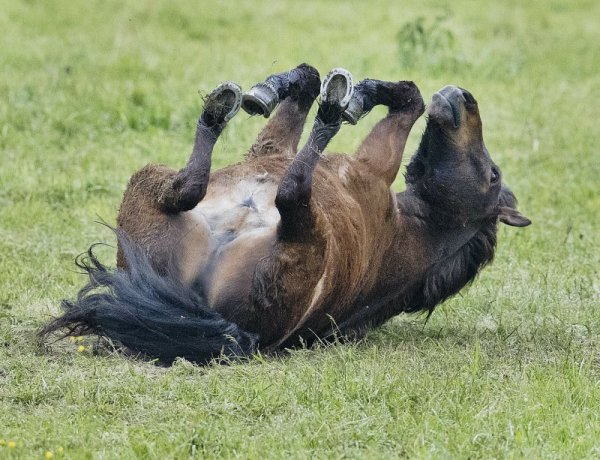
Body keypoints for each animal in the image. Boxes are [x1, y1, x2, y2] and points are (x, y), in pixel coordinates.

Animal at [41, 63, 528, 362]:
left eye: (492, 175)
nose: (464, 96)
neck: (406, 225)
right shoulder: (274, 147)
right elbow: (312, 83)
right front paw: (299, 89)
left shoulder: (371, 165)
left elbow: (409, 101)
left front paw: (349, 97)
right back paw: (231, 107)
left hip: (293, 227)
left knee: (264, 191)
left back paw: (307, 111)